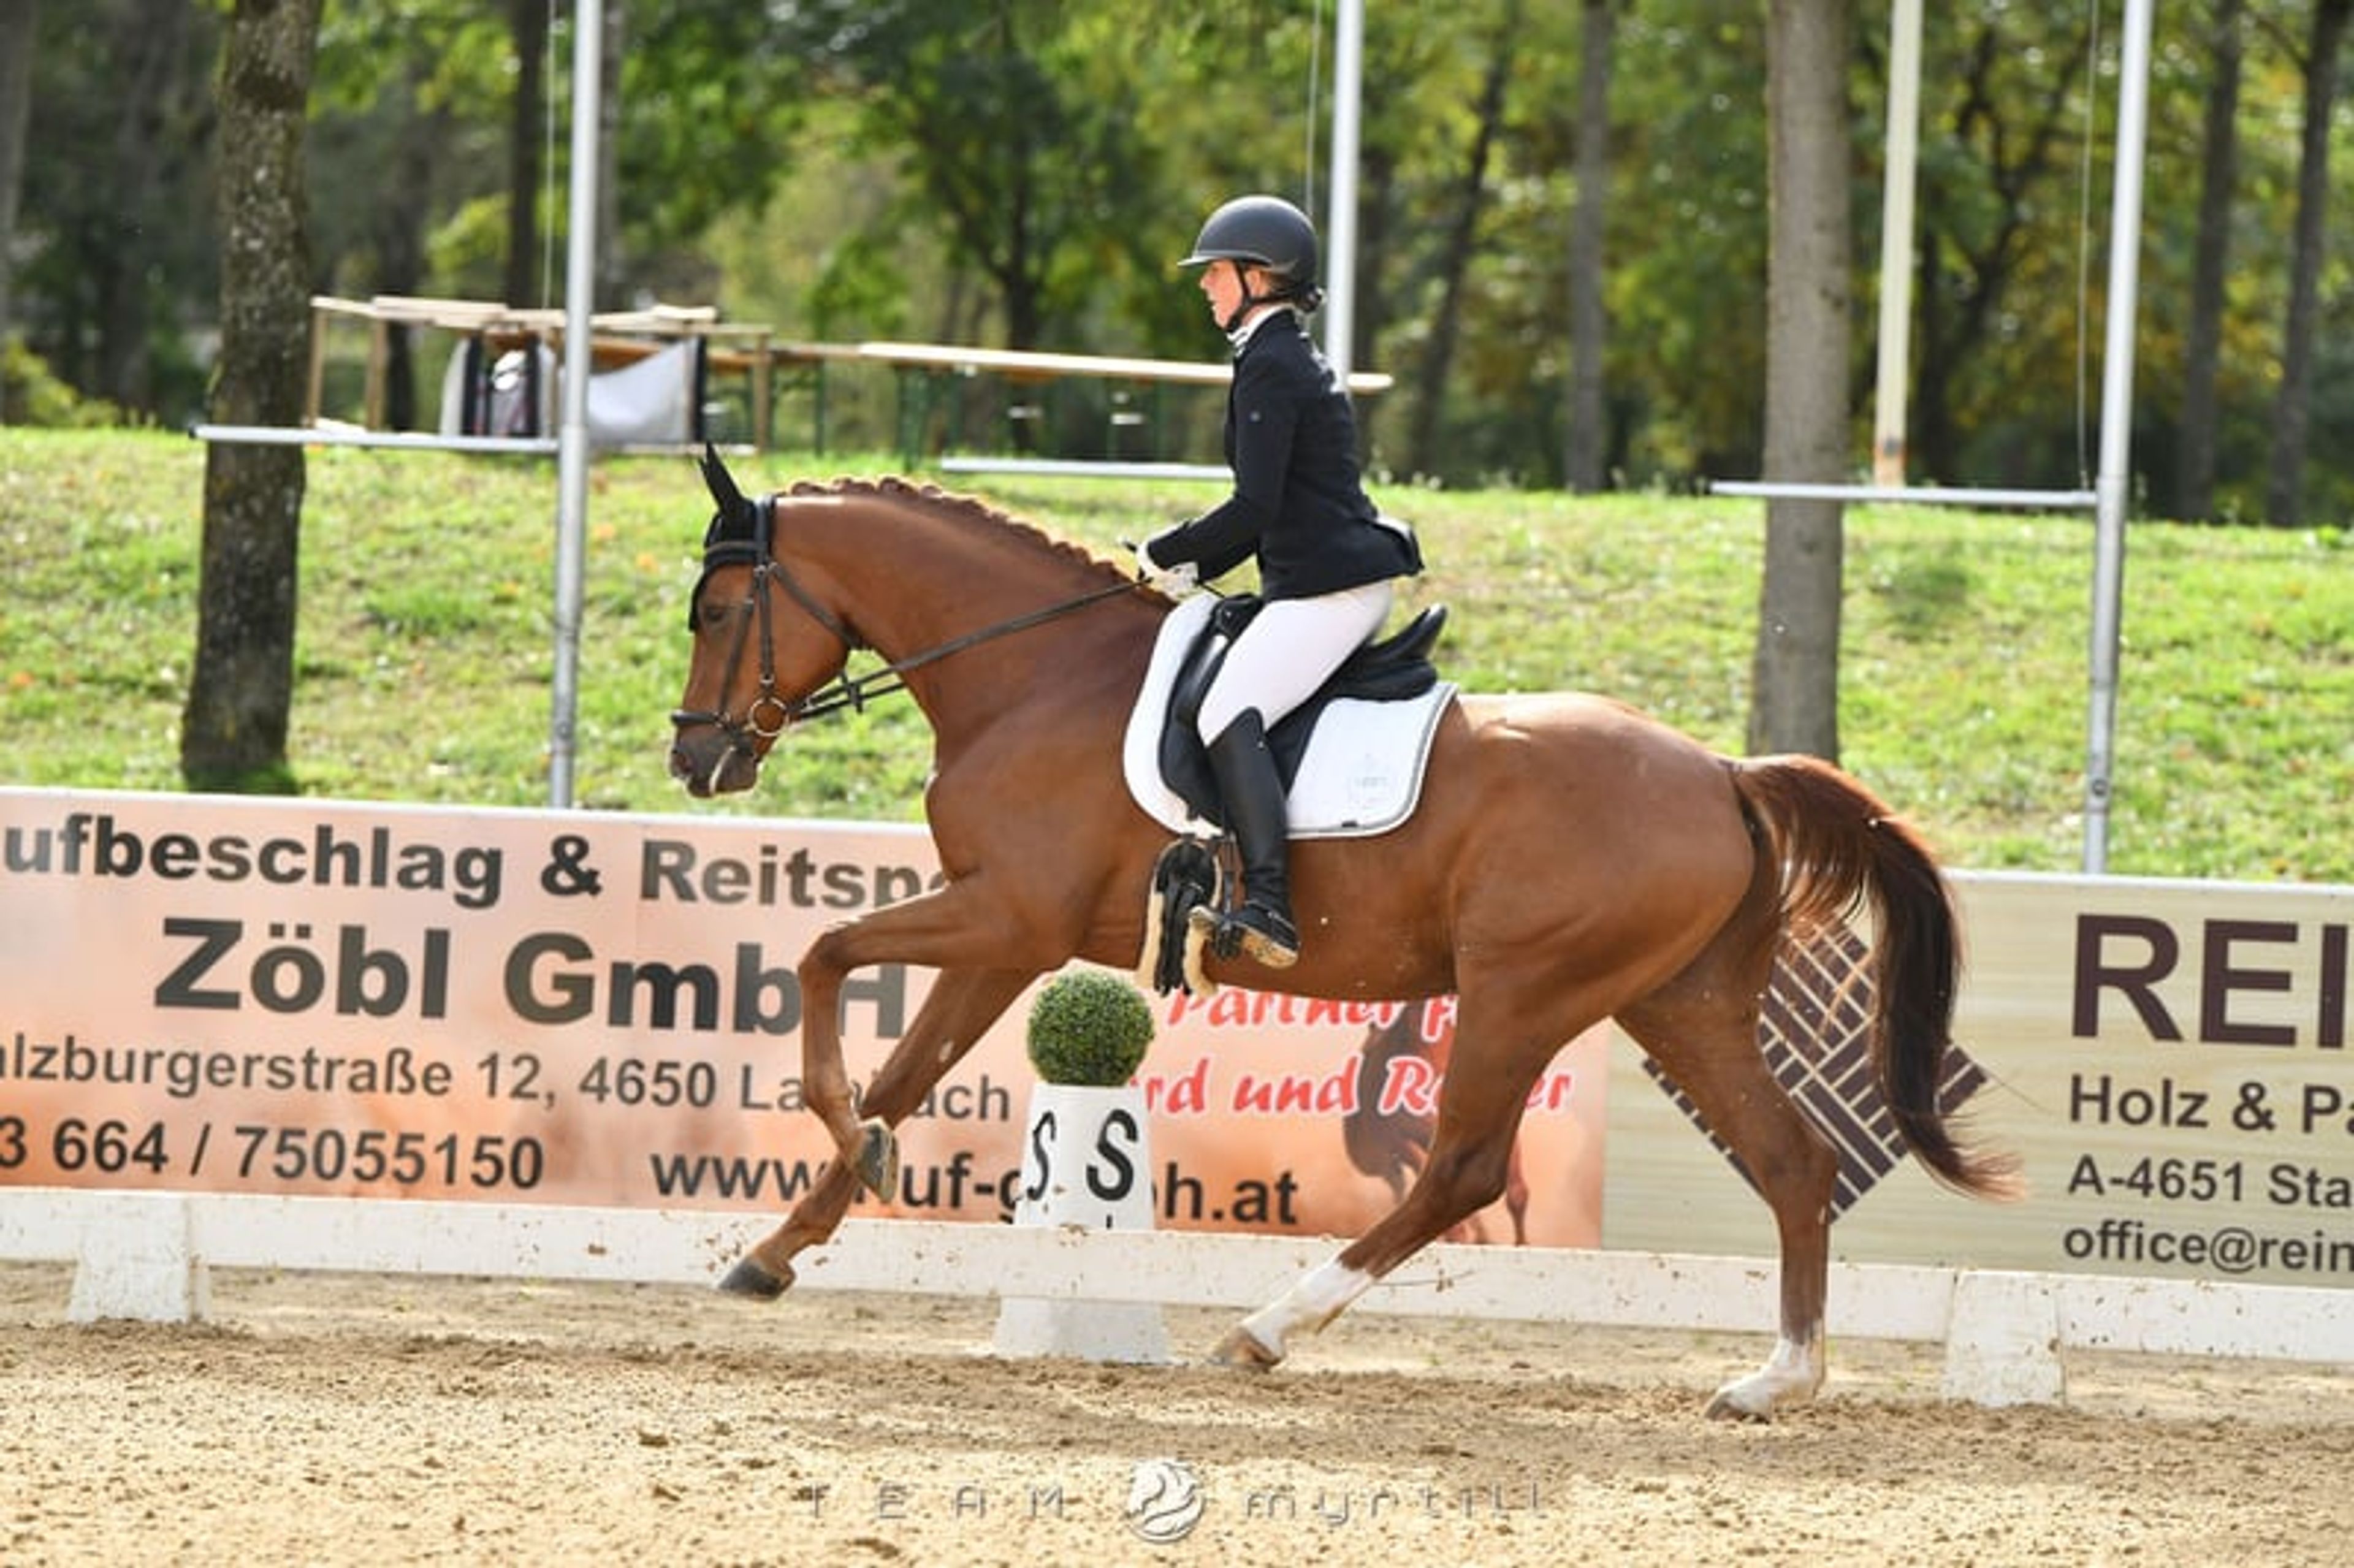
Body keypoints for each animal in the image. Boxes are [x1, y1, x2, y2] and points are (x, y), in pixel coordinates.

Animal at [666, 453, 2018, 1419]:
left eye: (722, 609)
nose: (697, 760)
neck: (1033, 673)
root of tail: (1725, 773)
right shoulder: (1007, 935)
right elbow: (904, 1061)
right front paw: (781, 1243)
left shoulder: (1009, 912)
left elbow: (825, 956)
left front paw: (851, 1145)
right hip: (1679, 1000)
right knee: (1793, 1161)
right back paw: (1774, 1379)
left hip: (1526, 990)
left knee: (1461, 1168)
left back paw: (1266, 1328)